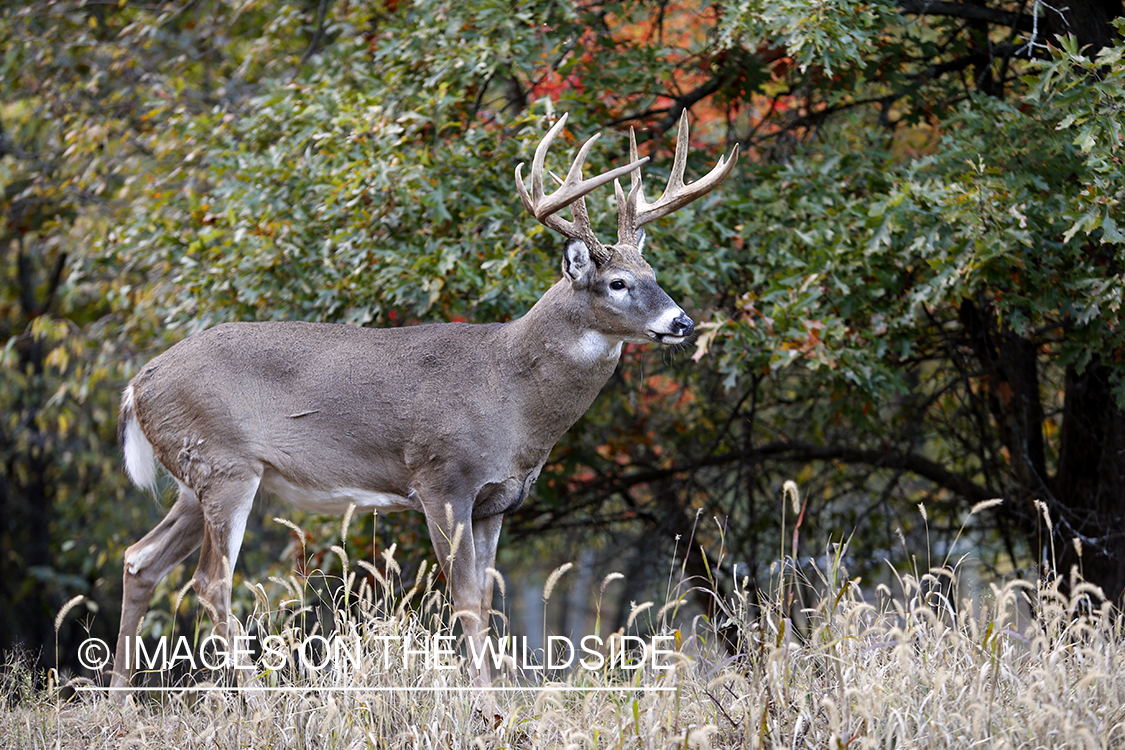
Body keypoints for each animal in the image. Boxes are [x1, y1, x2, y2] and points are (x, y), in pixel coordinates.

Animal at [107, 110, 738, 697]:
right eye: (617, 283)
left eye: (652, 271)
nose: (681, 322)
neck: (512, 395)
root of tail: (137, 383)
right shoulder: (441, 479)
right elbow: (464, 600)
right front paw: (485, 706)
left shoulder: (496, 502)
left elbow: (486, 600)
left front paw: (495, 698)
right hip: (224, 465)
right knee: (209, 581)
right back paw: (254, 700)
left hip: (198, 478)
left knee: (140, 558)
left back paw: (118, 699)